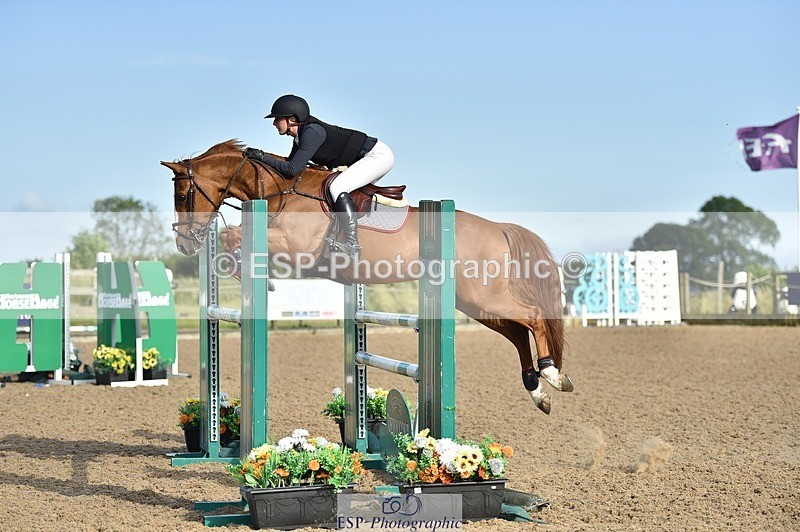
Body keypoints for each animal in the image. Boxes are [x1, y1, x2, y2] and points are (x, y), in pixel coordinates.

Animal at [162, 139, 573, 414]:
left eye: (182, 196)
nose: (184, 243)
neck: (281, 191)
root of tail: (497, 228)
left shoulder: (296, 247)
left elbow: (233, 237)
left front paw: (247, 268)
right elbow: (231, 238)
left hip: (484, 296)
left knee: (534, 317)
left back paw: (553, 376)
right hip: (474, 302)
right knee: (517, 331)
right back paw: (539, 391)